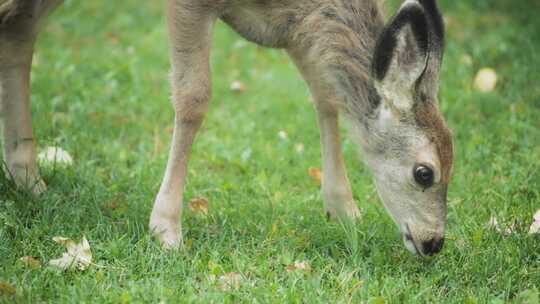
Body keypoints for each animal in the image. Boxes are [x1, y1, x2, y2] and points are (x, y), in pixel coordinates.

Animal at [1, 0, 452, 256]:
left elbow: (325, 96)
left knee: (19, 24)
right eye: (423, 172)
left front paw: (343, 209)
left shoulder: (292, 28)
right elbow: (194, 97)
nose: (433, 242)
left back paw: (27, 176)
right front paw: (166, 228)